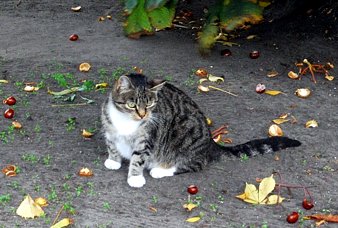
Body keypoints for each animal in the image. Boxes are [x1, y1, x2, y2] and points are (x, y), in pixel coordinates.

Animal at [100, 74, 302, 188]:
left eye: (149, 104)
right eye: (132, 104)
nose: (143, 115)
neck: (126, 122)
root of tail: (211, 142)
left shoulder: (146, 138)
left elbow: (138, 158)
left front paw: (135, 177)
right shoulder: (109, 130)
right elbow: (112, 146)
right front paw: (114, 160)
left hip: (184, 138)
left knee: (195, 164)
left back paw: (160, 170)